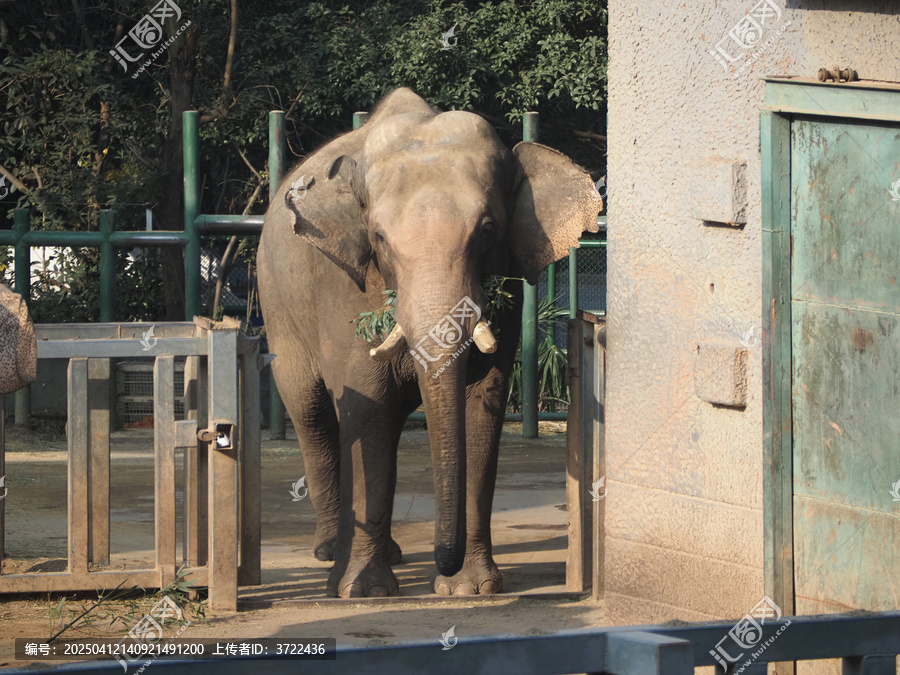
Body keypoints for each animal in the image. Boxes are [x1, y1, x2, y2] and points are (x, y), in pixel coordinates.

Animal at [257, 88, 600, 598]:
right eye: (379, 238)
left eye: (487, 231)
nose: (443, 562)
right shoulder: (343, 288)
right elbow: (365, 404)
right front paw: (365, 592)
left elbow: (482, 405)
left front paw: (470, 589)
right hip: (276, 298)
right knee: (312, 411)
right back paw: (329, 554)